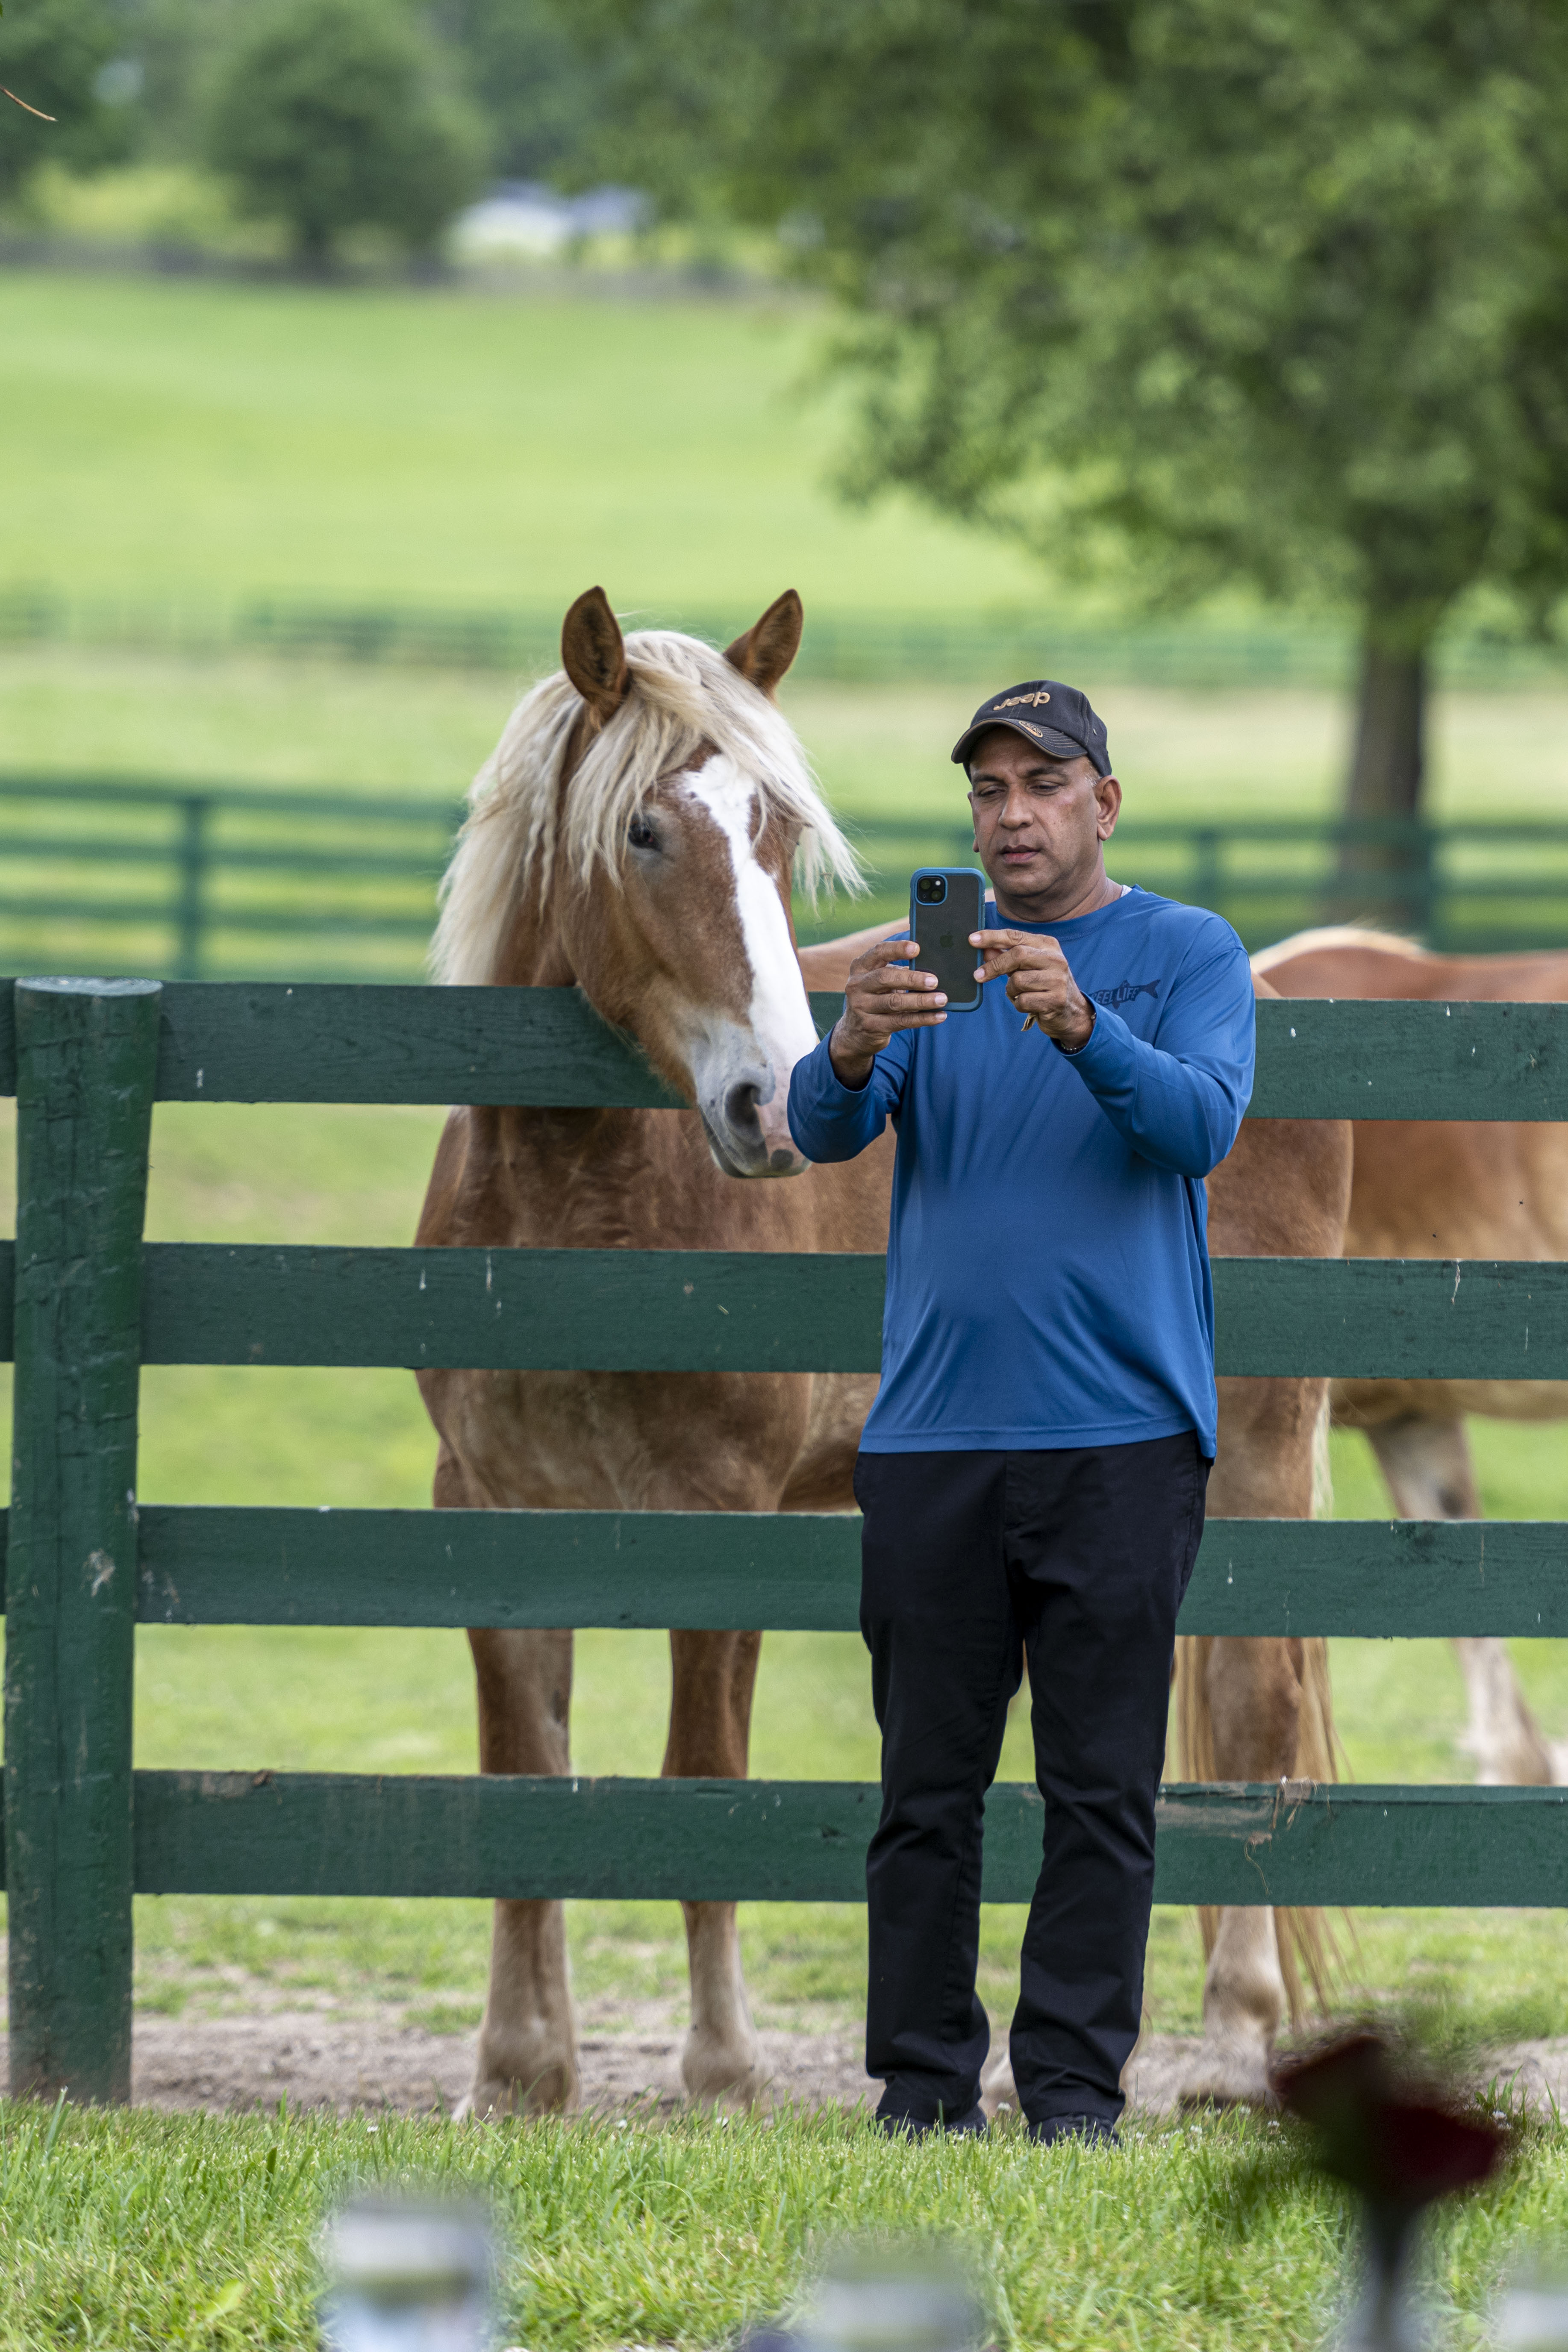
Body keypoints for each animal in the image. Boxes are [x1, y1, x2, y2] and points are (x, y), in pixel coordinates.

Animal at [416, 583, 1354, 2117]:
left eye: (775, 834)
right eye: (643, 831)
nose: (768, 1102)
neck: (585, 1213)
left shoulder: (714, 1517)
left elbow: (701, 1777)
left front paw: (722, 2072)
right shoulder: (490, 1513)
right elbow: (521, 1778)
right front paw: (517, 2071)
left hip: (1264, 1463)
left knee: (1252, 1705)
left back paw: (1228, 2043)